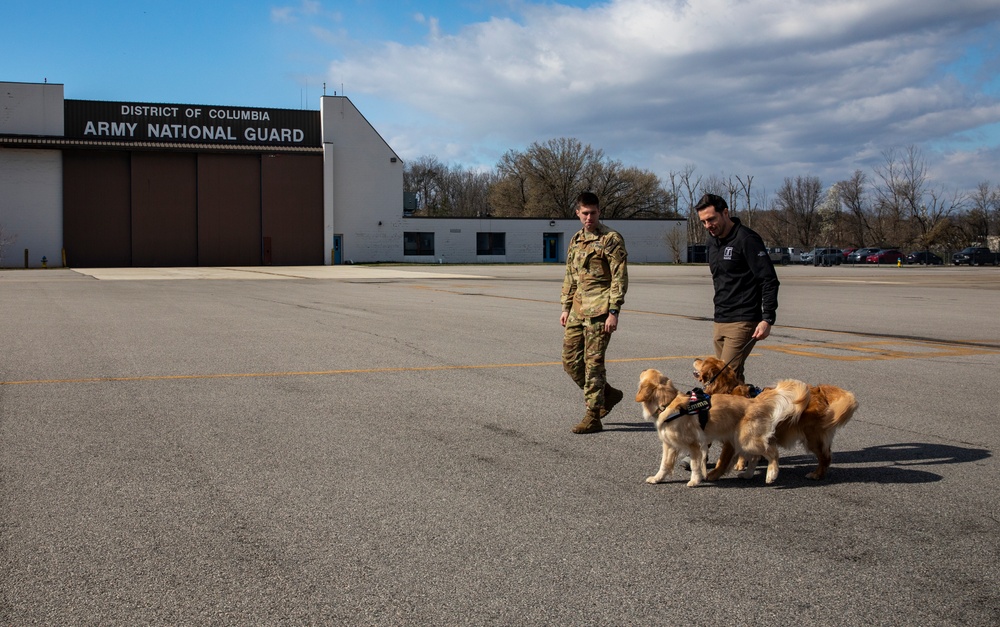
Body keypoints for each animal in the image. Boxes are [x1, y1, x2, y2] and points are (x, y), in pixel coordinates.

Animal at [632, 370, 812, 488]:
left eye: (645, 373)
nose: (641, 370)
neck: (668, 403)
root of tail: (755, 401)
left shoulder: (695, 445)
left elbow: (696, 465)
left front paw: (695, 481)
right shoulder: (669, 445)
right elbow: (665, 464)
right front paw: (657, 478)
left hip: (747, 440)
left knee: (773, 452)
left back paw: (772, 474)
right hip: (741, 441)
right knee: (755, 458)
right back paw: (748, 475)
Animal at [696, 358, 860, 480]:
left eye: (704, 361)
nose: (696, 358)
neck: (728, 390)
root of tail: (819, 390)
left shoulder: (731, 439)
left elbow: (723, 460)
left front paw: (714, 474)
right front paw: (742, 465)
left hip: (813, 438)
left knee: (825, 457)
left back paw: (816, 474)